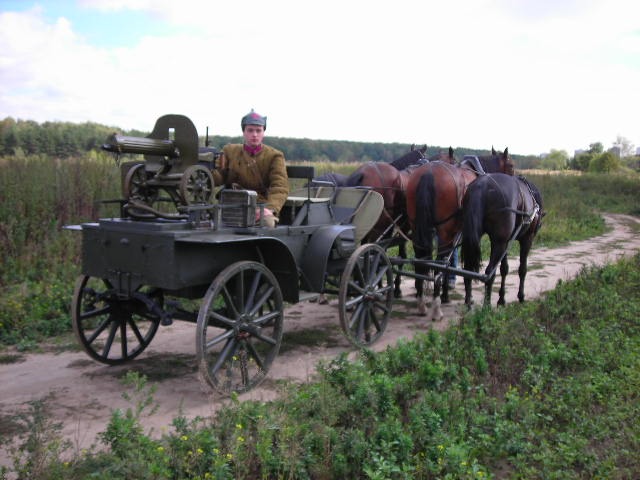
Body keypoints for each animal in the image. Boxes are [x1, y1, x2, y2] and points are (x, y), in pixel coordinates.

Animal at [404, 146, 516, 318]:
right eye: (511, 165)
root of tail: (428, 173)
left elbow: (450, 262)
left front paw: (445, 295)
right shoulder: (460, 234)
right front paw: (452, 297)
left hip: (417, 227)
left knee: (421, 260)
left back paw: (422, 302)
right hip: (444, 232)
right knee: (438, 263)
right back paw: (436, 307)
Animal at [460, 174, 544, 306]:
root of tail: (482, 185)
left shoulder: (506, 242)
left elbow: (504, 269)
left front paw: (501, 298)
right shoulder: (527, 239)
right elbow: (522, 269)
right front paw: (521, 296)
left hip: (479, 238)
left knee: (468, 270)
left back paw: (468, 302)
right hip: (499, 243)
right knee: (489, 272)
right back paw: (486, 306)